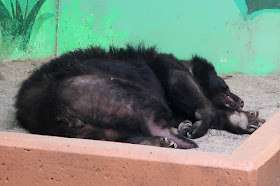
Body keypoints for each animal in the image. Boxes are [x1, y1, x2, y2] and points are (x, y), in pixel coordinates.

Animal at [15, 44, 264, 149]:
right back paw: (175, 139)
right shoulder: (171, 68)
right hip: (98, 90)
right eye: (225, 88)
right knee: (149, 113)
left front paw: (245, 118)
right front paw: (201, 122)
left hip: (87, 124)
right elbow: (183, 86)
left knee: (109, 135)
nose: (239, 99)